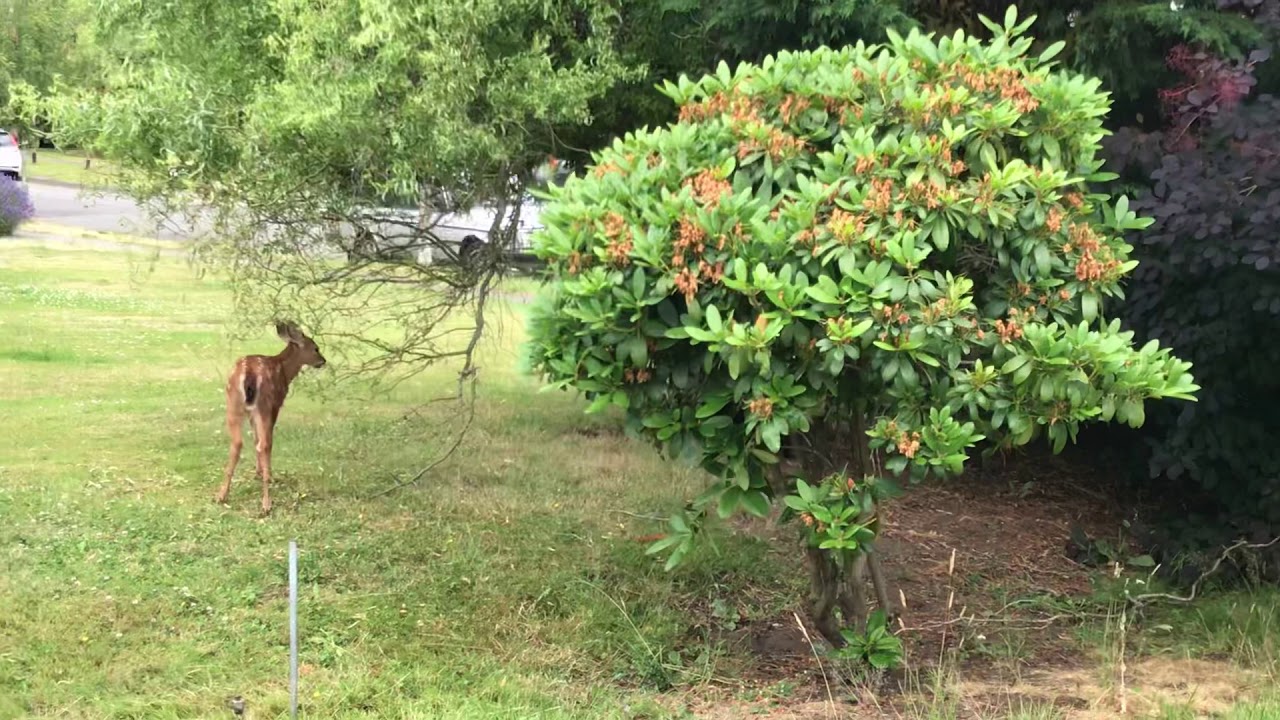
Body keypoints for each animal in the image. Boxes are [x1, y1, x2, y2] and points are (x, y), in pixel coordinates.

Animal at [215, 321, 327, 515]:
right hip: (264, 404)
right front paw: (266, 474)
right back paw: (266, 502)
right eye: (315, 348)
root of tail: (249, 372)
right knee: (265, 444)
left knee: (237, 442)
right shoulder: (276, 405)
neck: (285, 371)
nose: (323, 361)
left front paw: (257, 472)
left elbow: (254, 439)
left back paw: (221, 495)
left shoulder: (251, 412)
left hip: (233, 403)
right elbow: (265, 441)